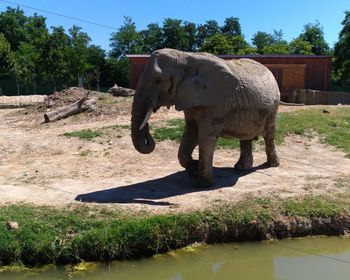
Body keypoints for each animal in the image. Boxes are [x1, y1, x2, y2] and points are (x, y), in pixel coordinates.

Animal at [130, 49, 280, 187]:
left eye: (158, 80)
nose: (147, 126)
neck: (185, 56)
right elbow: (191, 132)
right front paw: (194, 170)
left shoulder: (217, 104)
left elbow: (205, 136)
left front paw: (203, 183)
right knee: (246, 136)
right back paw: (241, 168)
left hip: (273, 106)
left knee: (269, 134)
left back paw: (272, 164)